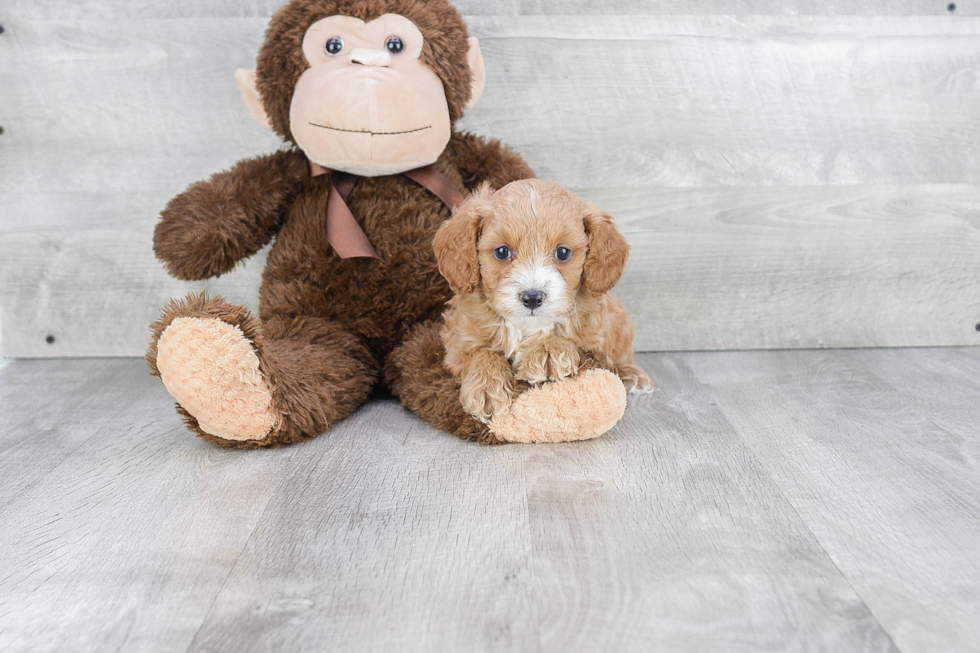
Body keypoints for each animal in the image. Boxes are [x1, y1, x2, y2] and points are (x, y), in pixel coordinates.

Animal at [434, 178, 652, 422]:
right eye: (502, 252)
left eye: (563, 253)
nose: (532, 297)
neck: (526, 326)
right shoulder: (456, 343)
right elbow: (480, 352)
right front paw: (486, 387)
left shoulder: (594, 337)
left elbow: (572, 339)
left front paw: (549, 352)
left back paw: (633, 375)